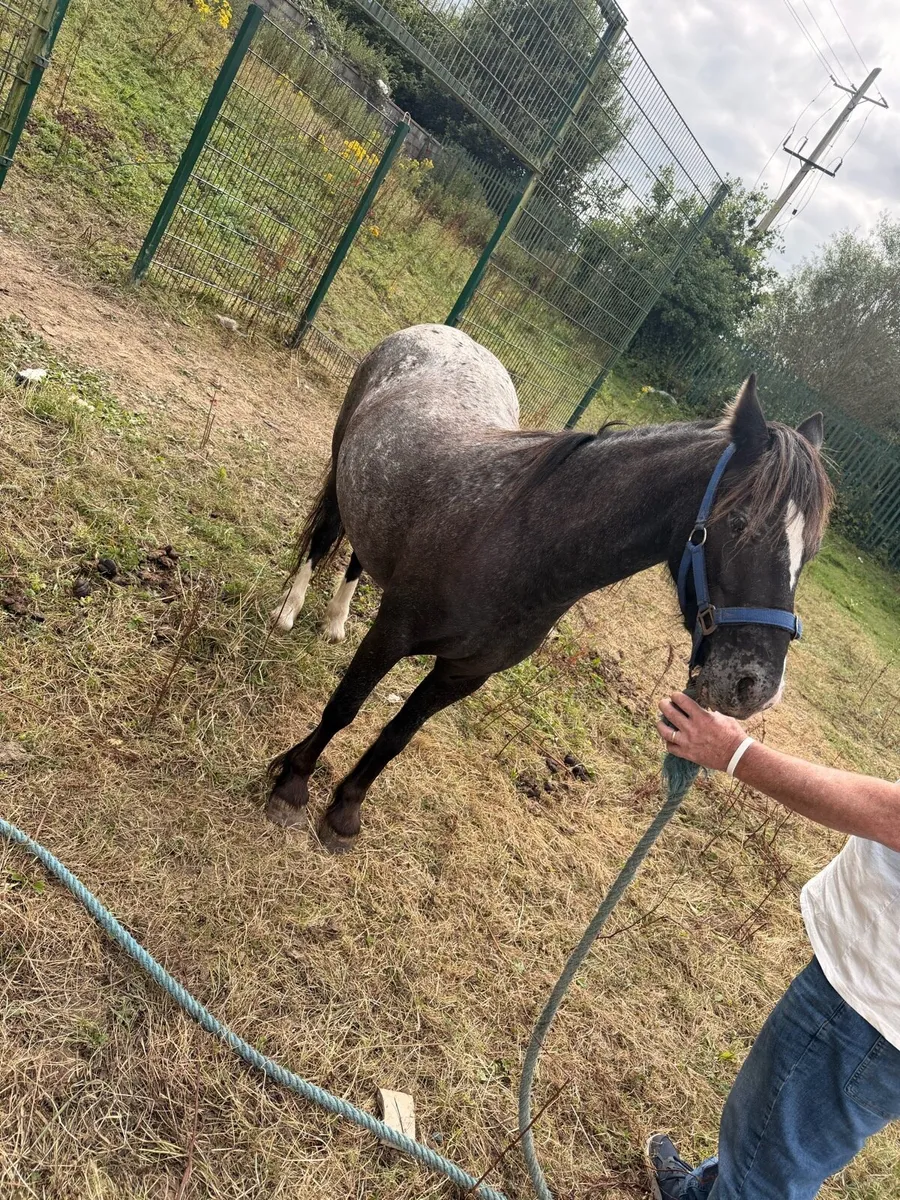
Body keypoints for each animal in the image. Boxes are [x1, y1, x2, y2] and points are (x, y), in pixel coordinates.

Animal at [267, 324, 831, 852]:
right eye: (739, 523)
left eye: (810, 552)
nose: (755, 687)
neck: (518, 541)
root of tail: (441, 332)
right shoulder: (392, 634)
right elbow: (345, 706)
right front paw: (292, 784)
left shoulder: (463, 673)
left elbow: (395, 738)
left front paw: (345, 812)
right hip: (342, 468)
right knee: (324, 537)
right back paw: (288, 614)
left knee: (358, 557)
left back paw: (336, 622)